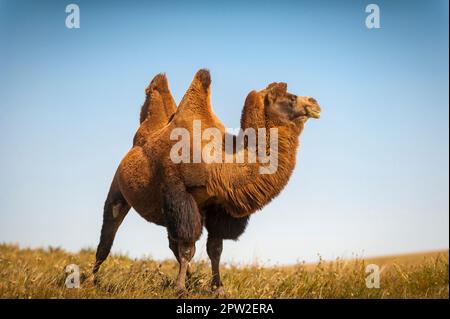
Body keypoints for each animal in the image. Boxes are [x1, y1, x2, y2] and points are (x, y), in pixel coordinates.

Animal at [94, 69, 320, 294]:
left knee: (171, 243)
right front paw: (180, 289)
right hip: (118, 190)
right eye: (291, 97)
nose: (315, 103)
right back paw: (92, 280)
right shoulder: (181, 195)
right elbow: (187, 248)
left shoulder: (217, 207)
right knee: (108, 234)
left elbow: (215, 249)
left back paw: (192, 279)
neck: (218, 163)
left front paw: (217, 288)